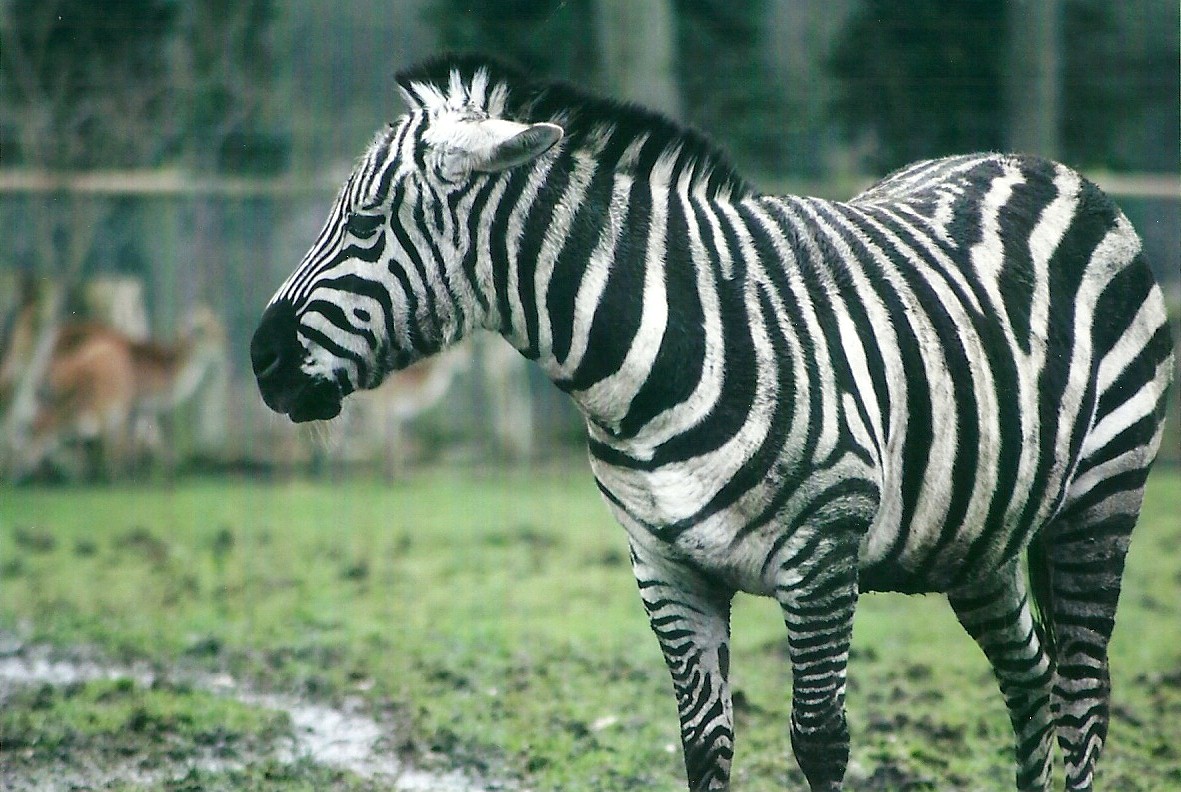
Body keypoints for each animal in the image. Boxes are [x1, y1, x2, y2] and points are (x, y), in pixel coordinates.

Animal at [250, 54, 1174, 791]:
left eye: (365, 224)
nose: (261, 362)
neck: (654, 357)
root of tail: (1044, 166)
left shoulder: (821, 557)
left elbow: (819, 742)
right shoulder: (664, 567)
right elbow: (703, 745)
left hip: (1101, 500)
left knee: (1081, 700)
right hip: (976, 536)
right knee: (1030, 682)